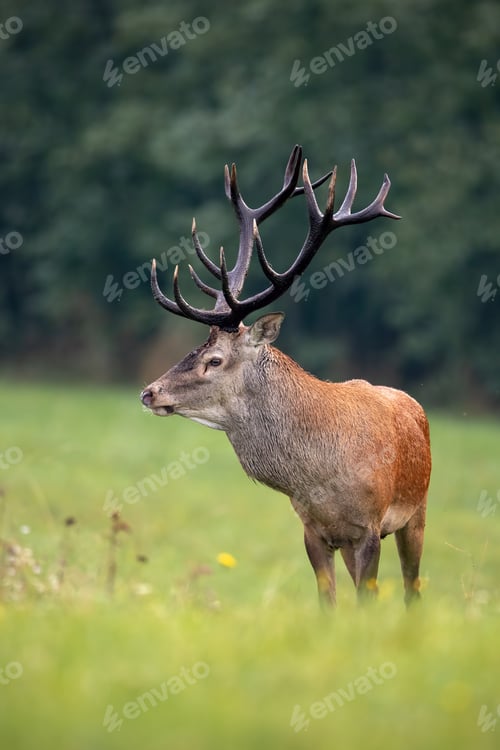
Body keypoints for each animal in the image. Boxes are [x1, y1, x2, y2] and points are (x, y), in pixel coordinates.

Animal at [140, 145, 431, 607]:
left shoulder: (370, 528)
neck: (318, 480)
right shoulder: (313, 530)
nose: (150, 392)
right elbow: (328, 605)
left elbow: (366, 604)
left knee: (412, 590)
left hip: (416, 511)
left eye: (214, 360)